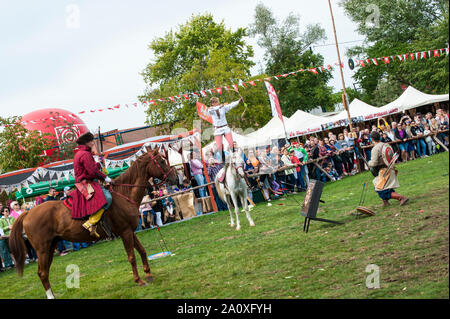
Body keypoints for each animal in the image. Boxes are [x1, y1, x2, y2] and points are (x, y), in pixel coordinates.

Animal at [8, 149, 178, 298]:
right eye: (162, 161)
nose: (176, 178)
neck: (124, 194)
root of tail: (28, 212)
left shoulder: (130, 231)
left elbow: (142, 251)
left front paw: (148, 274)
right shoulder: (125, 232)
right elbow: (131, 257)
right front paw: (139, 280)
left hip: (50, 246)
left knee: (44, 272)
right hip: (42, 249)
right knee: (42, 273)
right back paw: (51, 297)